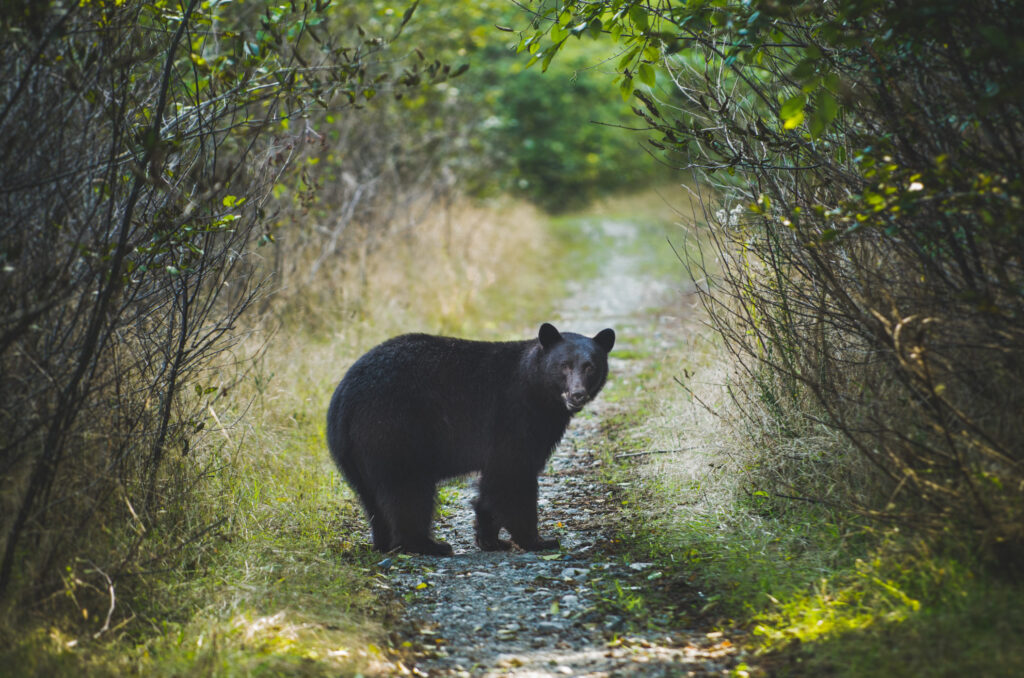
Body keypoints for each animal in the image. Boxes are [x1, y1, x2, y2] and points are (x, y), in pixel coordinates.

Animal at [327, 323, 614, 557]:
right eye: (564, 364)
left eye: (590, 366)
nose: (577, 394)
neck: (538, 390)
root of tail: (345, 398)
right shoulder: (513, 416)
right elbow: (513, 476)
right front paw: (537, 540)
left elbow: (493, 484)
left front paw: (491, 540)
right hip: (395, 432)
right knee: (408, 492)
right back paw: (428, 545)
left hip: (354, 452)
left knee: (371, 498)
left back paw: (384, 543)